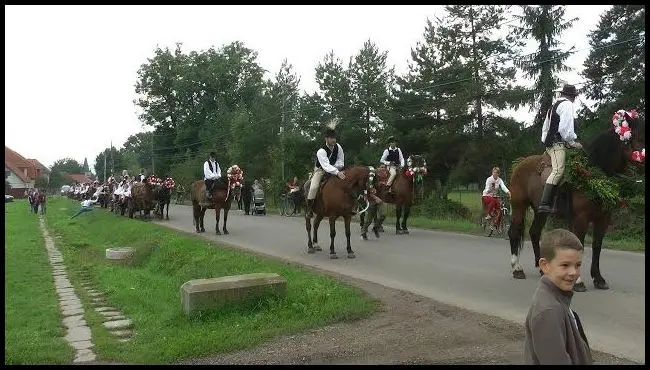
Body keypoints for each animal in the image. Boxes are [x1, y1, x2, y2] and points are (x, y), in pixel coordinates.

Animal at [506, 118, 644, 292]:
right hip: (519, 205)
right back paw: (517, 269)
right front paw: (578, 282)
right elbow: (579, 245)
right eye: (638, 137)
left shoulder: (603, 218)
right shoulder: (581, 219)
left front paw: (598, 279)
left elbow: (597, 246)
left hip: (540, 211)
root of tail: (520, 164)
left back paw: (542, 268)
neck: (593, 176)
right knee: (514, 232)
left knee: (534, 232)